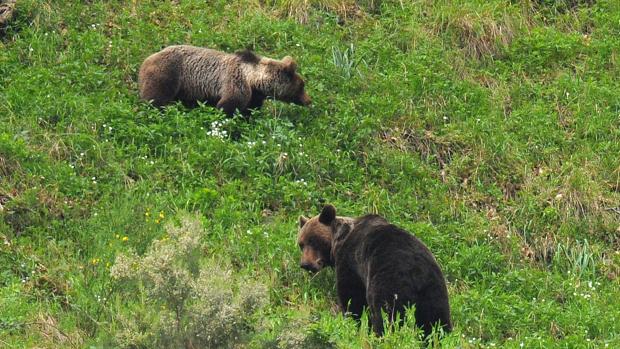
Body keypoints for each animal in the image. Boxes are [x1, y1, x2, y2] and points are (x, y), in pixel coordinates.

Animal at [138, 44, 310, 115]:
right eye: (302, 86)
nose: (309, 100)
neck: (253, 79)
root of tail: (145, 60)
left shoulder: (254, 95)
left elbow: (250, 110)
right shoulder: (235, 82)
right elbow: (228, 105)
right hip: (169, 73)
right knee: (156, 98)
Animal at [296, 204, 450, 338]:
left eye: (314, 240)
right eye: (301, 244)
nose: (305, 264)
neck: (338, 241)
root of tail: (416, 272)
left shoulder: (350, 262)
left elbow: (352, 296)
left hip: (389, 282)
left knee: (386, 314)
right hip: (434, 290)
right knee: (437, 321)